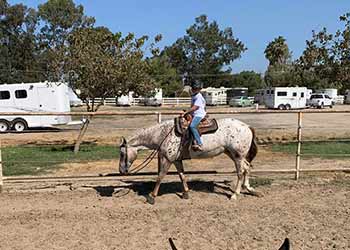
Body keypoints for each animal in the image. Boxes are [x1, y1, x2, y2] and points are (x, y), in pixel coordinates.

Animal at [119, 118, 258, 204]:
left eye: (122, 153)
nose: (121, 171)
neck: (162, 134)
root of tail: (247, 126)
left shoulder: (167, 159)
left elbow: (160, 176)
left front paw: (152, 197)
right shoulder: (176, 160)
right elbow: (182, 176)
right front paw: (185, 193)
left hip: (238, 156)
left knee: (240, 172)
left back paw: (235, 195)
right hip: (232, 154)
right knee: (247, 167)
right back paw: (249, 189)